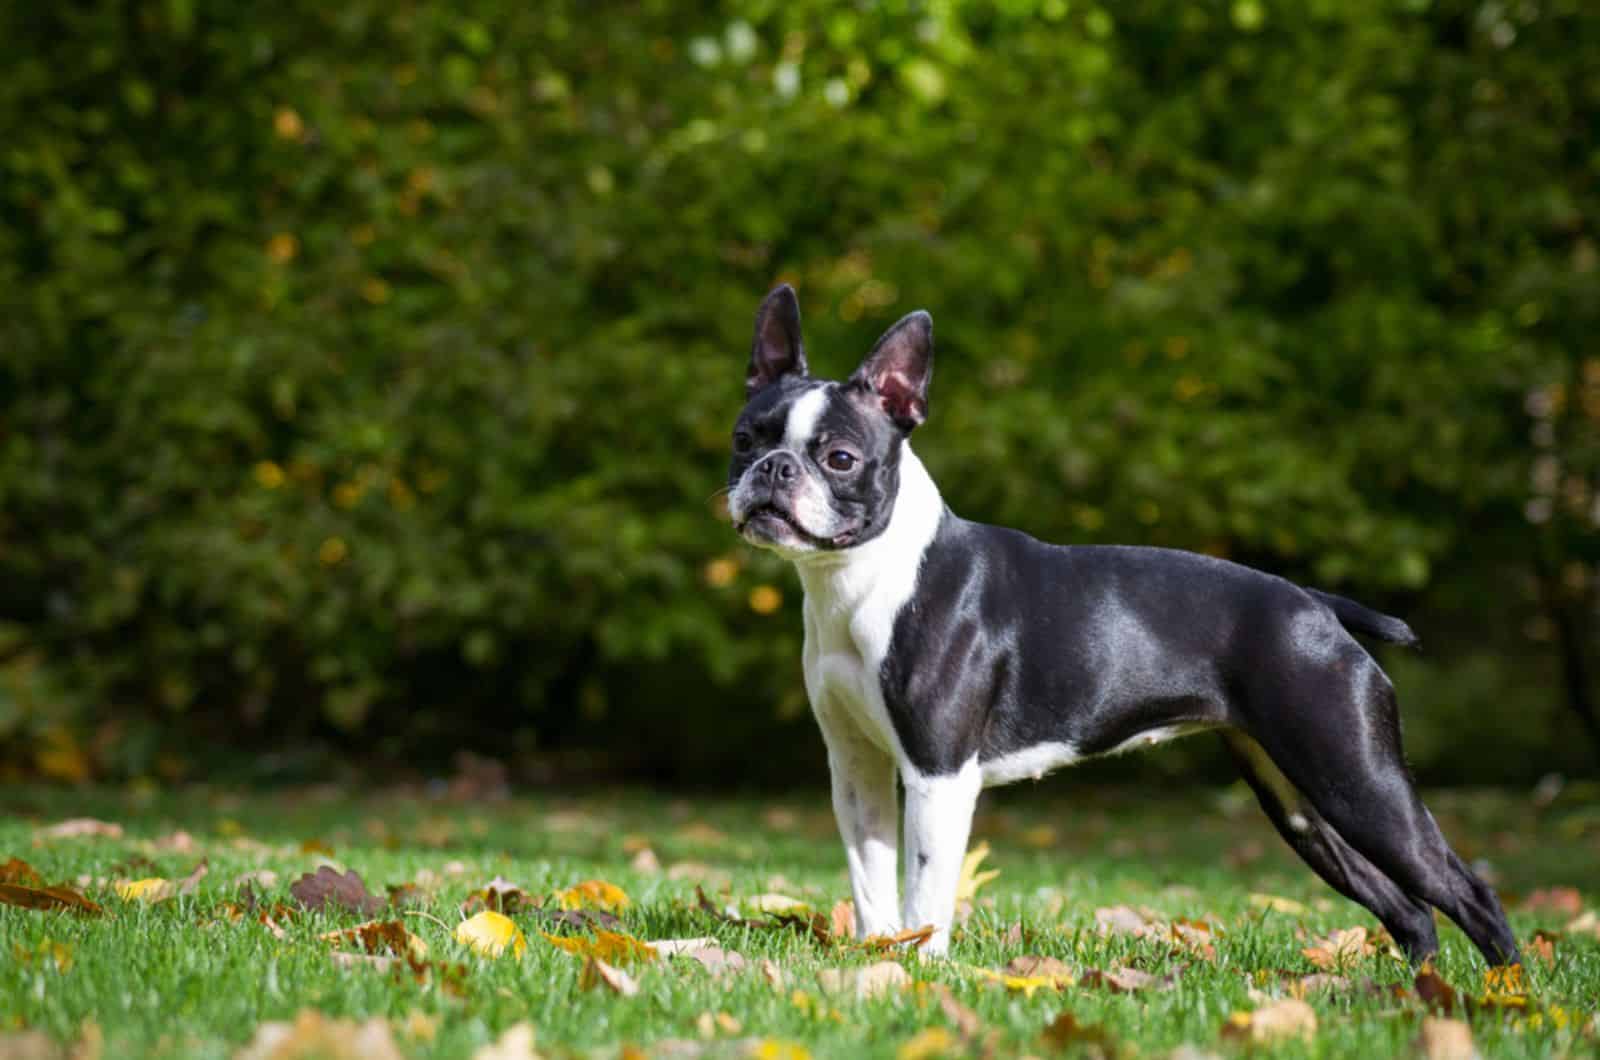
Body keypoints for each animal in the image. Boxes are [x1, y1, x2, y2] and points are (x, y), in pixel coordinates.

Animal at [732, 286, 1516, 967]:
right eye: (744, 439)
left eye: (839, 459)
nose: (772, 469)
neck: (861, 578)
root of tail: (1314, 604)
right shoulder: (856, 766)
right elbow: (871, 879)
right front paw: (877, 964)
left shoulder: (938, 774)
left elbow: (925, 888)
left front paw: (922, 969)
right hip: (1302, 801)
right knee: (1409, 907)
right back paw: (1419, 989)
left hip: (1358, 779)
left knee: (1468, 891)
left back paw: (1503, 991)